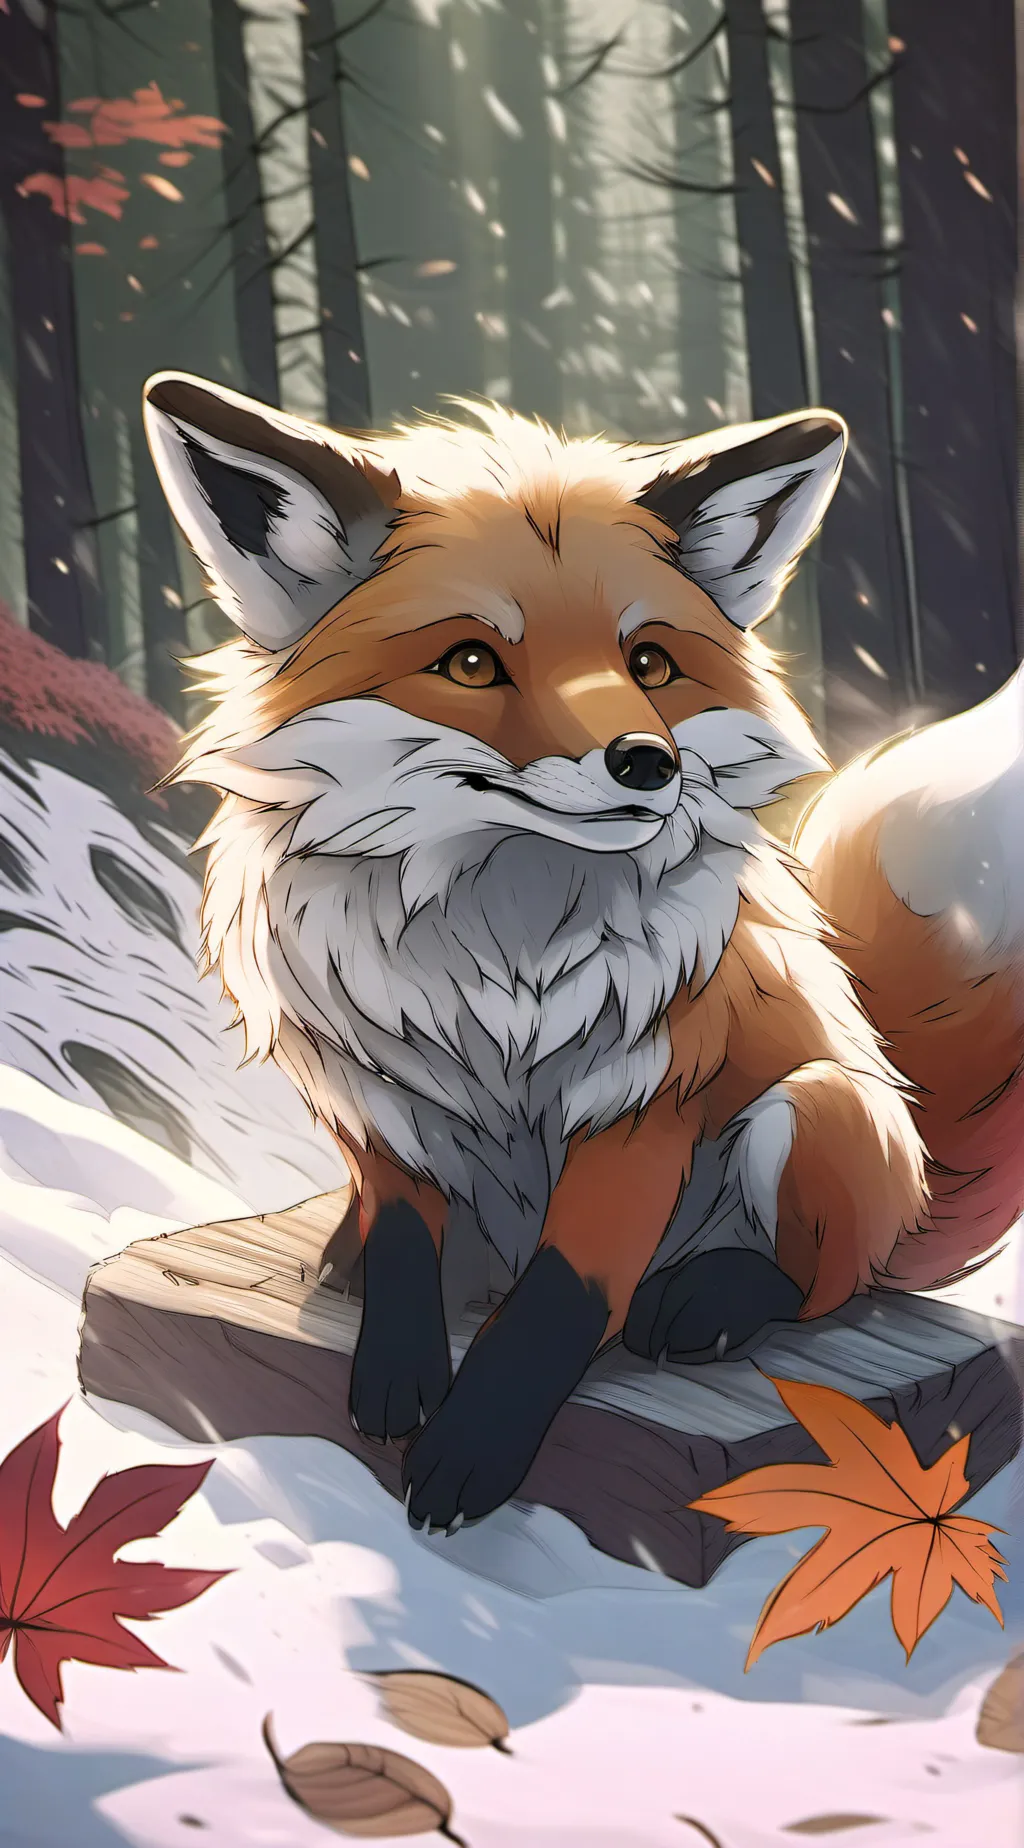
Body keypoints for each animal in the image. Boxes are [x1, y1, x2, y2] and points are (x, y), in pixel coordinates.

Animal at [142, 370, 1024, 1535]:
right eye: (473, 662)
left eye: (646, 661)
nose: (646, 762)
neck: (499, 962)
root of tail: (916, 1160)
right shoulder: (384, 1097)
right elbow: (403, 1241)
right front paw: (395, 1366)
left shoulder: (642, 1106)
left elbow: (563, 1300)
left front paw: (474, 1446)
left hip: (817, 1108)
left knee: (824, 1280)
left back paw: (710, 1298)